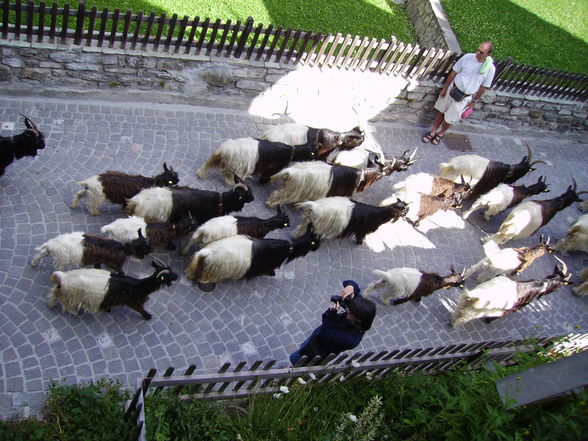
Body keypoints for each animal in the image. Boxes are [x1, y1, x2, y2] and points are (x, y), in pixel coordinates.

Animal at [48, 258, 178, 320]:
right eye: (167, 276)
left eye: (171, 270)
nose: (177, 276)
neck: (137, 286)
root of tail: (63, 277)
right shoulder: (132, 301)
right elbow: (140, 309)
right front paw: (148, 316)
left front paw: (108, 310)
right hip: (71, 294)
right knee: (63, 300)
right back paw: (72, 311)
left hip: (64, 289)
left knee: (54, 291)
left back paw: (51, 303)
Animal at [185, 227, 320, 292]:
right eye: (314, 242)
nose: (316, 249)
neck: (289, 248)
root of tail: (207, 251)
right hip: (215, 271)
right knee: (204, 279)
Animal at [266, 153, 414, 208]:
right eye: (389, 163)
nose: (405, 167)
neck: (362, 175)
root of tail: (290, 172)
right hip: (293, 189)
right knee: (280, 195)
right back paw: (270, 203)